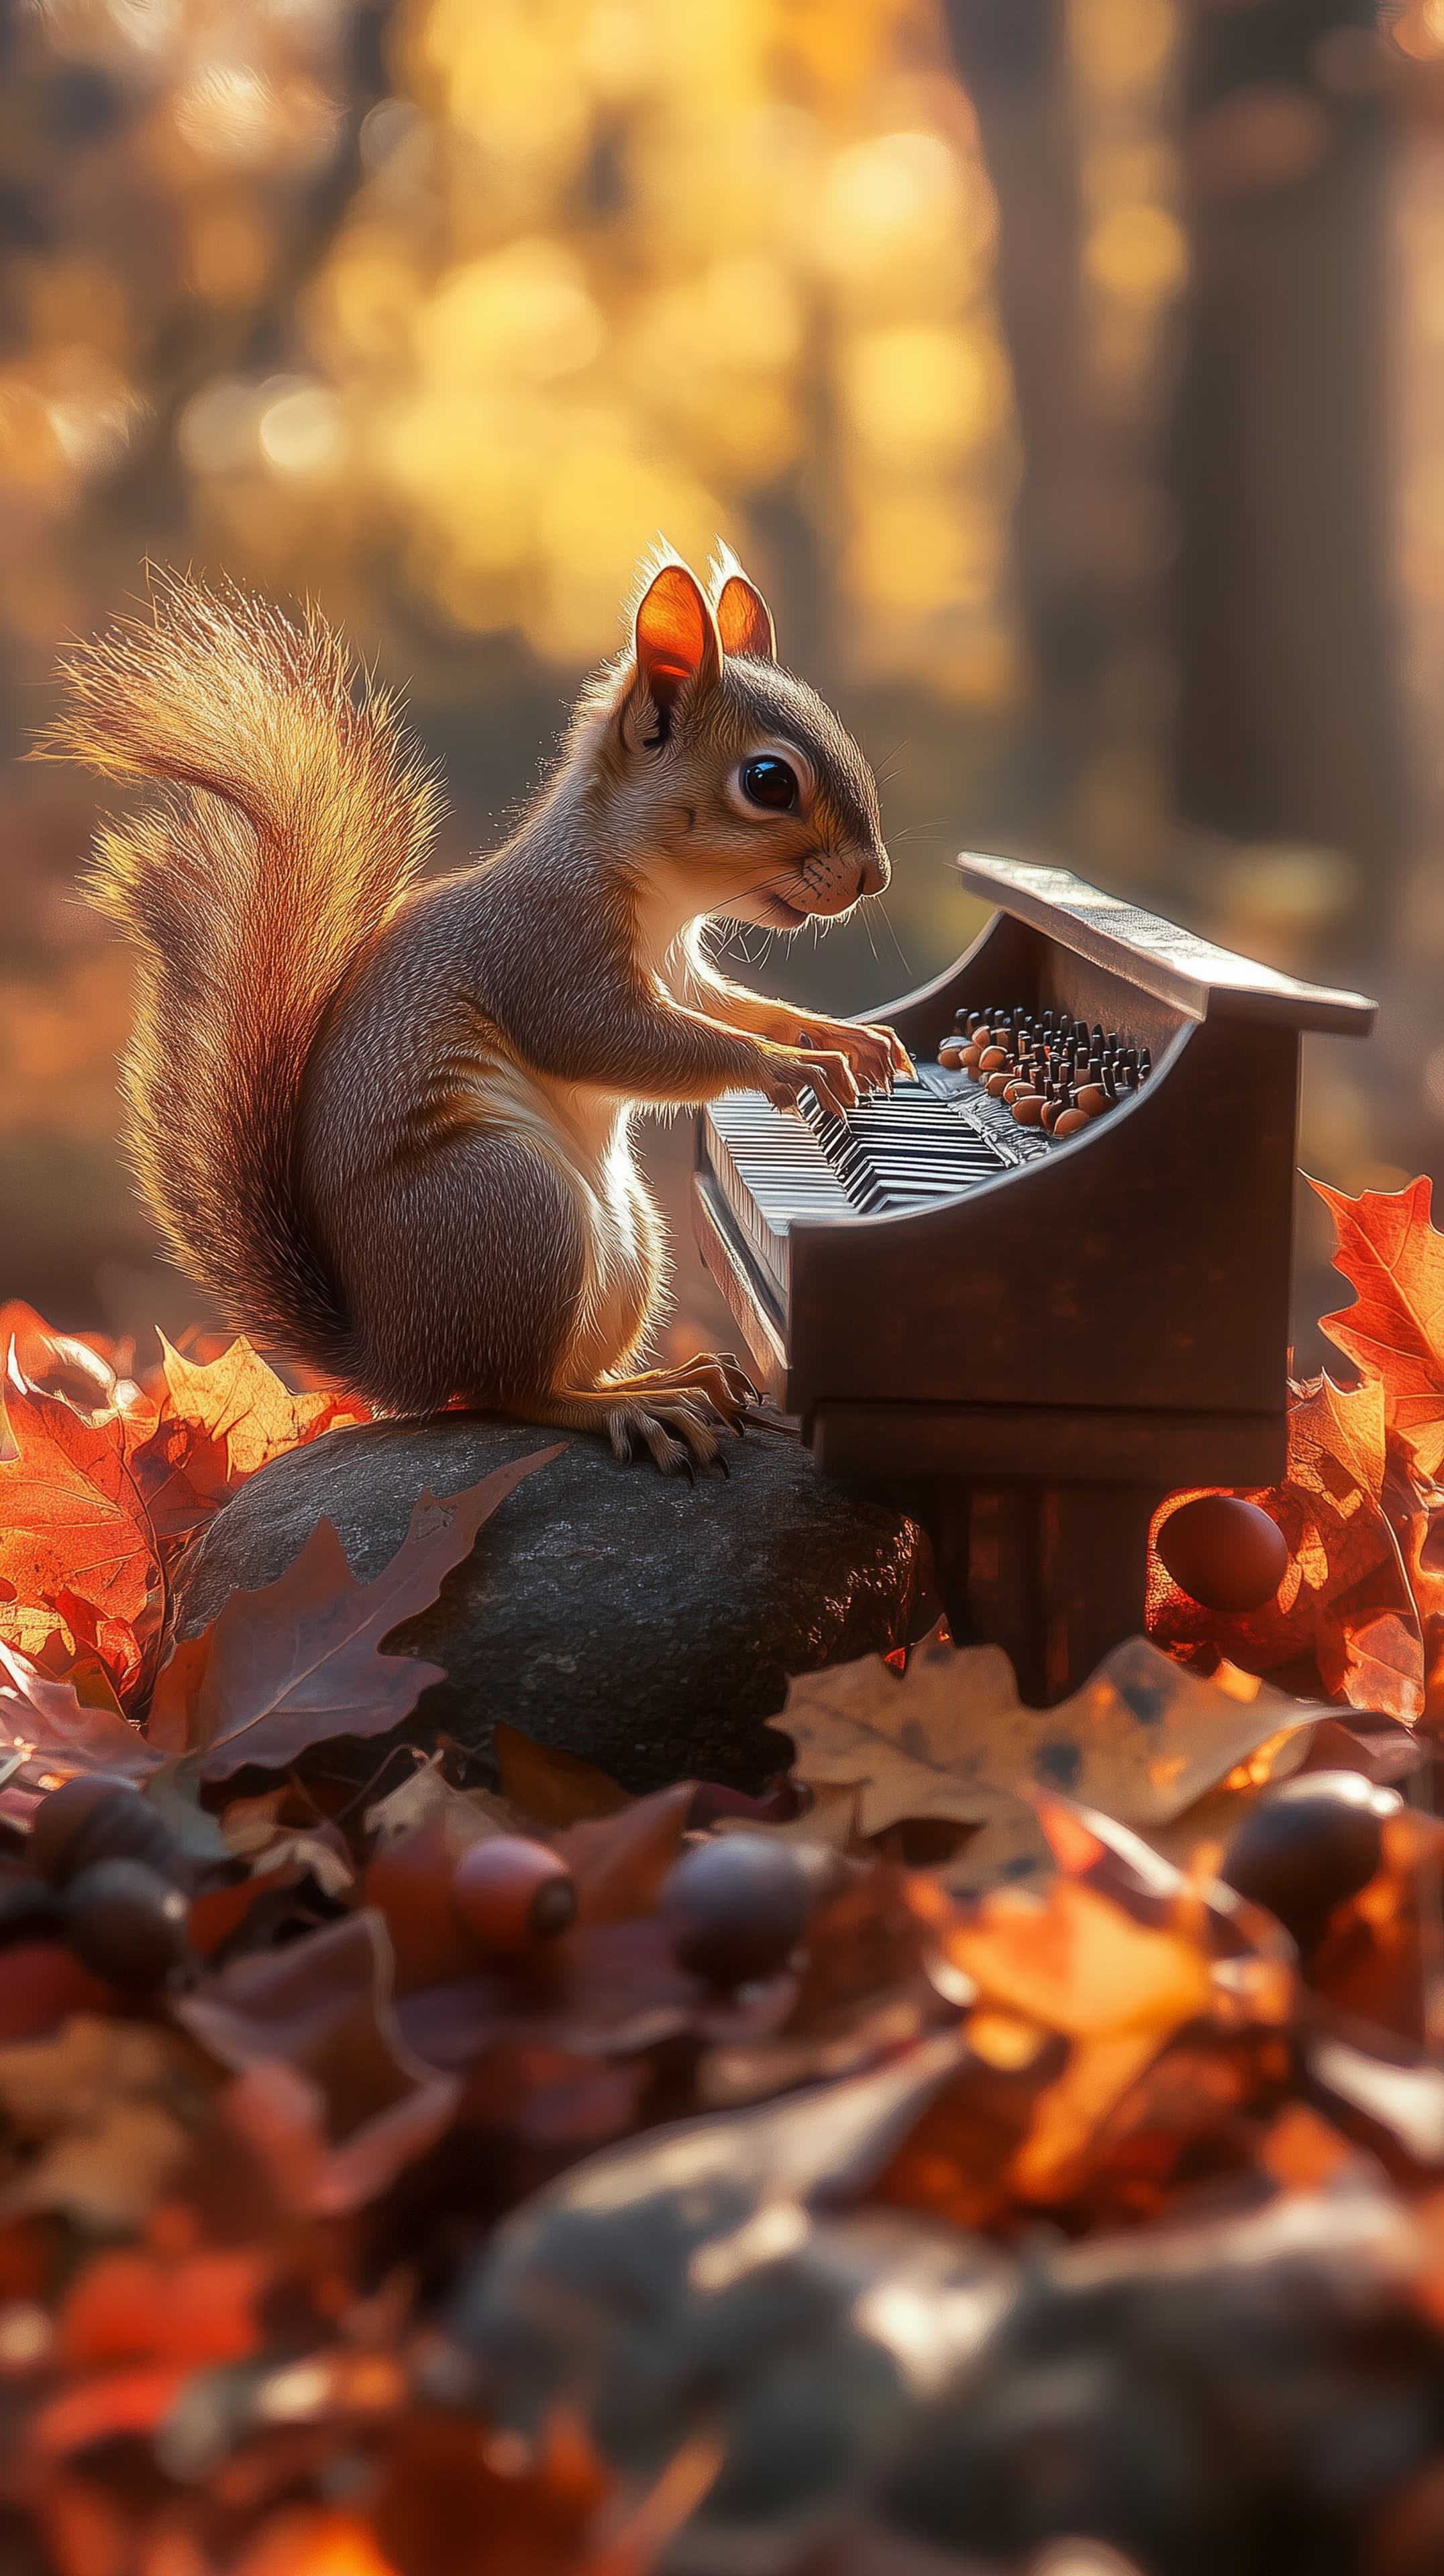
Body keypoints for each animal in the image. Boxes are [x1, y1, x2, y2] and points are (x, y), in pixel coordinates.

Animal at [45, 546, 908, 1473]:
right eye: (768, 781)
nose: (874, 876)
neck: (651, 894)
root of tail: (391, 1359)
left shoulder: (685, 975)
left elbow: (730, 1008)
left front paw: (838, 1036)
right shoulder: (546, 956)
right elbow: (622, 1041)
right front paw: (789, 1067)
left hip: (629, 1244)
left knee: (553, 1372)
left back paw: (668, 1381)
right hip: (513, 1209)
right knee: (512, 1393)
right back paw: (640, 1408)